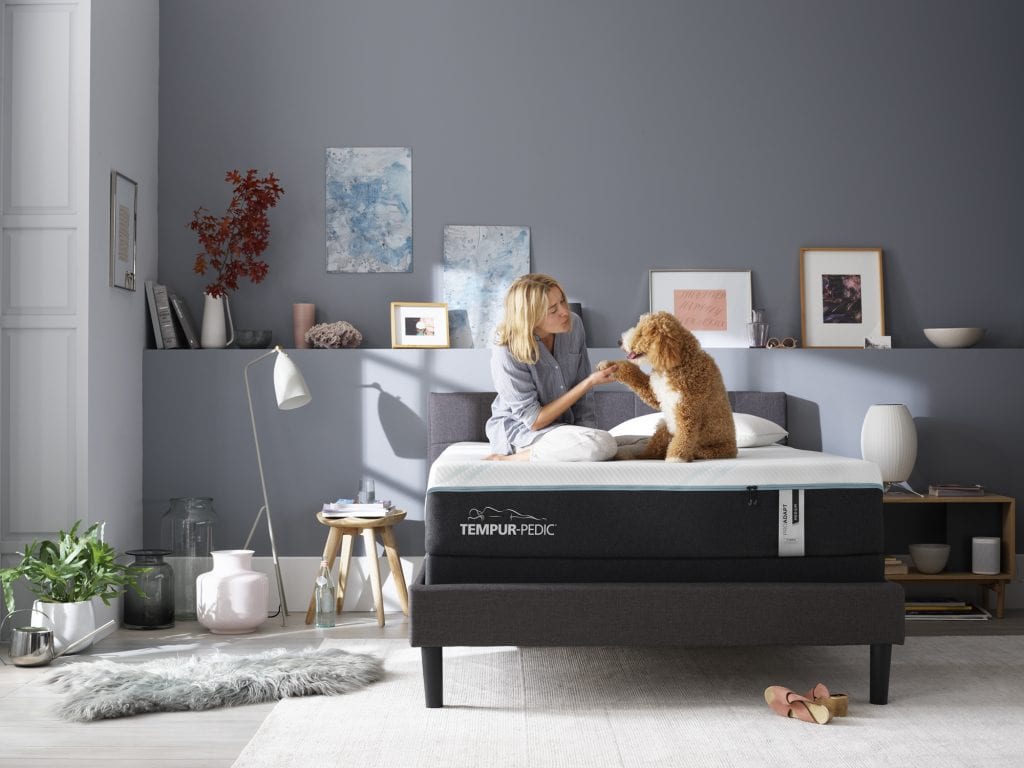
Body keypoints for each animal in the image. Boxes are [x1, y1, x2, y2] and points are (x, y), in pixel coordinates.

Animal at [598, 313, 737, 462]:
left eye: (641, 334)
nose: (619, 341)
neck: (678, 363)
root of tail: (734, 450)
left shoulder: (688, 411)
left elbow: (684, 437)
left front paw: (675, 458)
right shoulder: (655, 392)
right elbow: (632, 372)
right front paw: (609, 365)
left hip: (710, 449)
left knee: (693, 450)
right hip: (663, 430)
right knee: (648, 454)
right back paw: (627, 456)